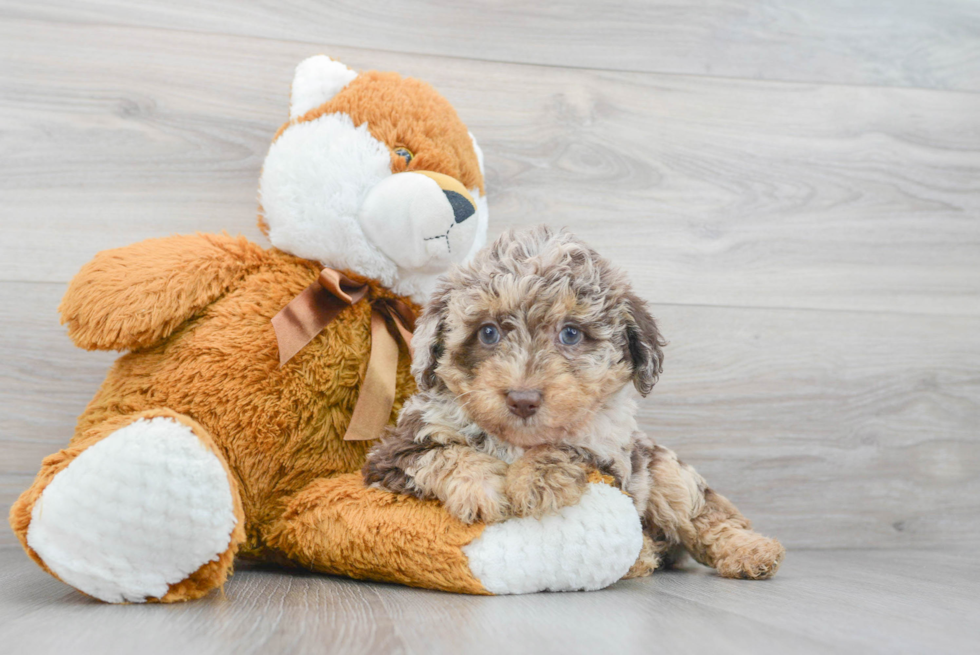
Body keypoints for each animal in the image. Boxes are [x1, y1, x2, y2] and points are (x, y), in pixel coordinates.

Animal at [364, 226, 784, 580]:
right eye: (488, 332)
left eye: (570, 334)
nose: (523, 399)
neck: (516, 441)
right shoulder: (392, 453)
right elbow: (443, 453)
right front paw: (485, 487)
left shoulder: (611, 457)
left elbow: (567, 447)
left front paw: (534, 479)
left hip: (665, 471)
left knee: (707, 515)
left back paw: (749, 552)